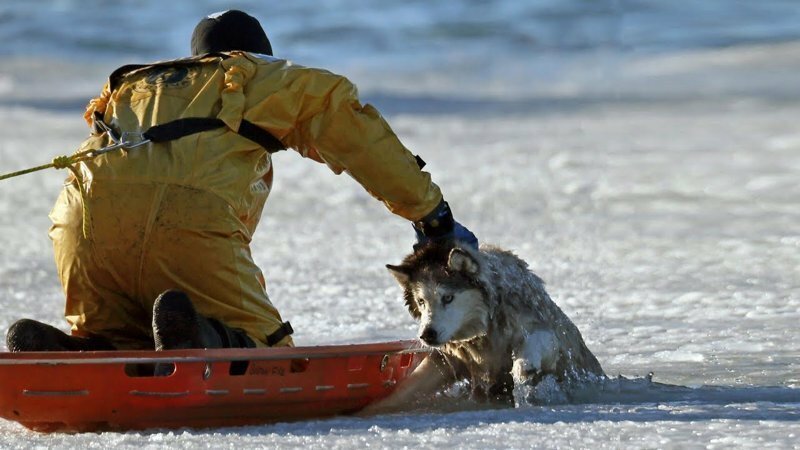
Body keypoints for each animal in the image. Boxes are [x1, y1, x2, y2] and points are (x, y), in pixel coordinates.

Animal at [372, 243, 604, 412]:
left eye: (448, 298)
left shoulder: (546, 333)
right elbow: (406, 389)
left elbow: (536, 343)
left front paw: (523, 369)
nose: (426, 335)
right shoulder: (448, 359)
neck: (484, 335)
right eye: (421, 301)